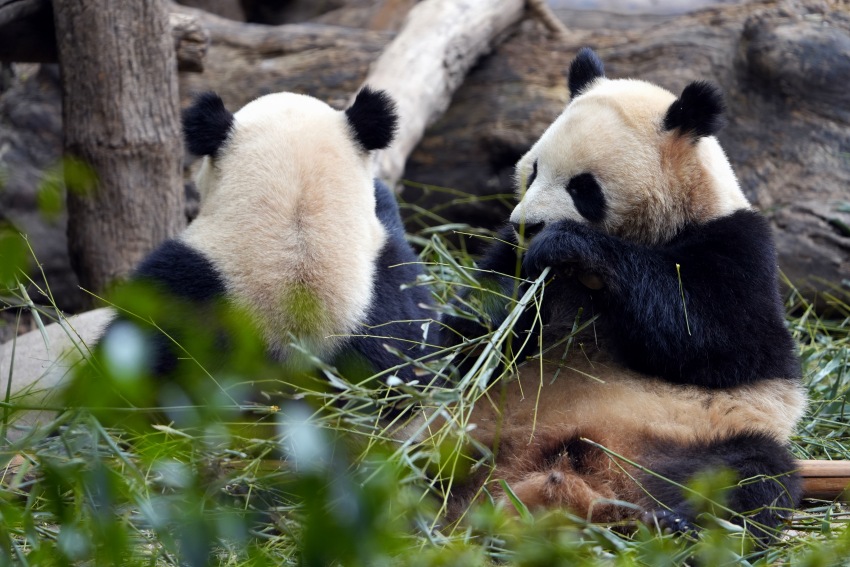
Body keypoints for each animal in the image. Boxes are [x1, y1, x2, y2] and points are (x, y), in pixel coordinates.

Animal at [448, 51, 804, 544]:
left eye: (583, 187)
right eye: (533, 169)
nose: (527, 225)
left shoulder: (739, 246)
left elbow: (718, 337)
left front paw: (568, 245)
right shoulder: (507, 254)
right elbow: (477, 320)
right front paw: (506, 309)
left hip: (699, 437)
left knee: (747, 476)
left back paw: (677, 526)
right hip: (474, 424)